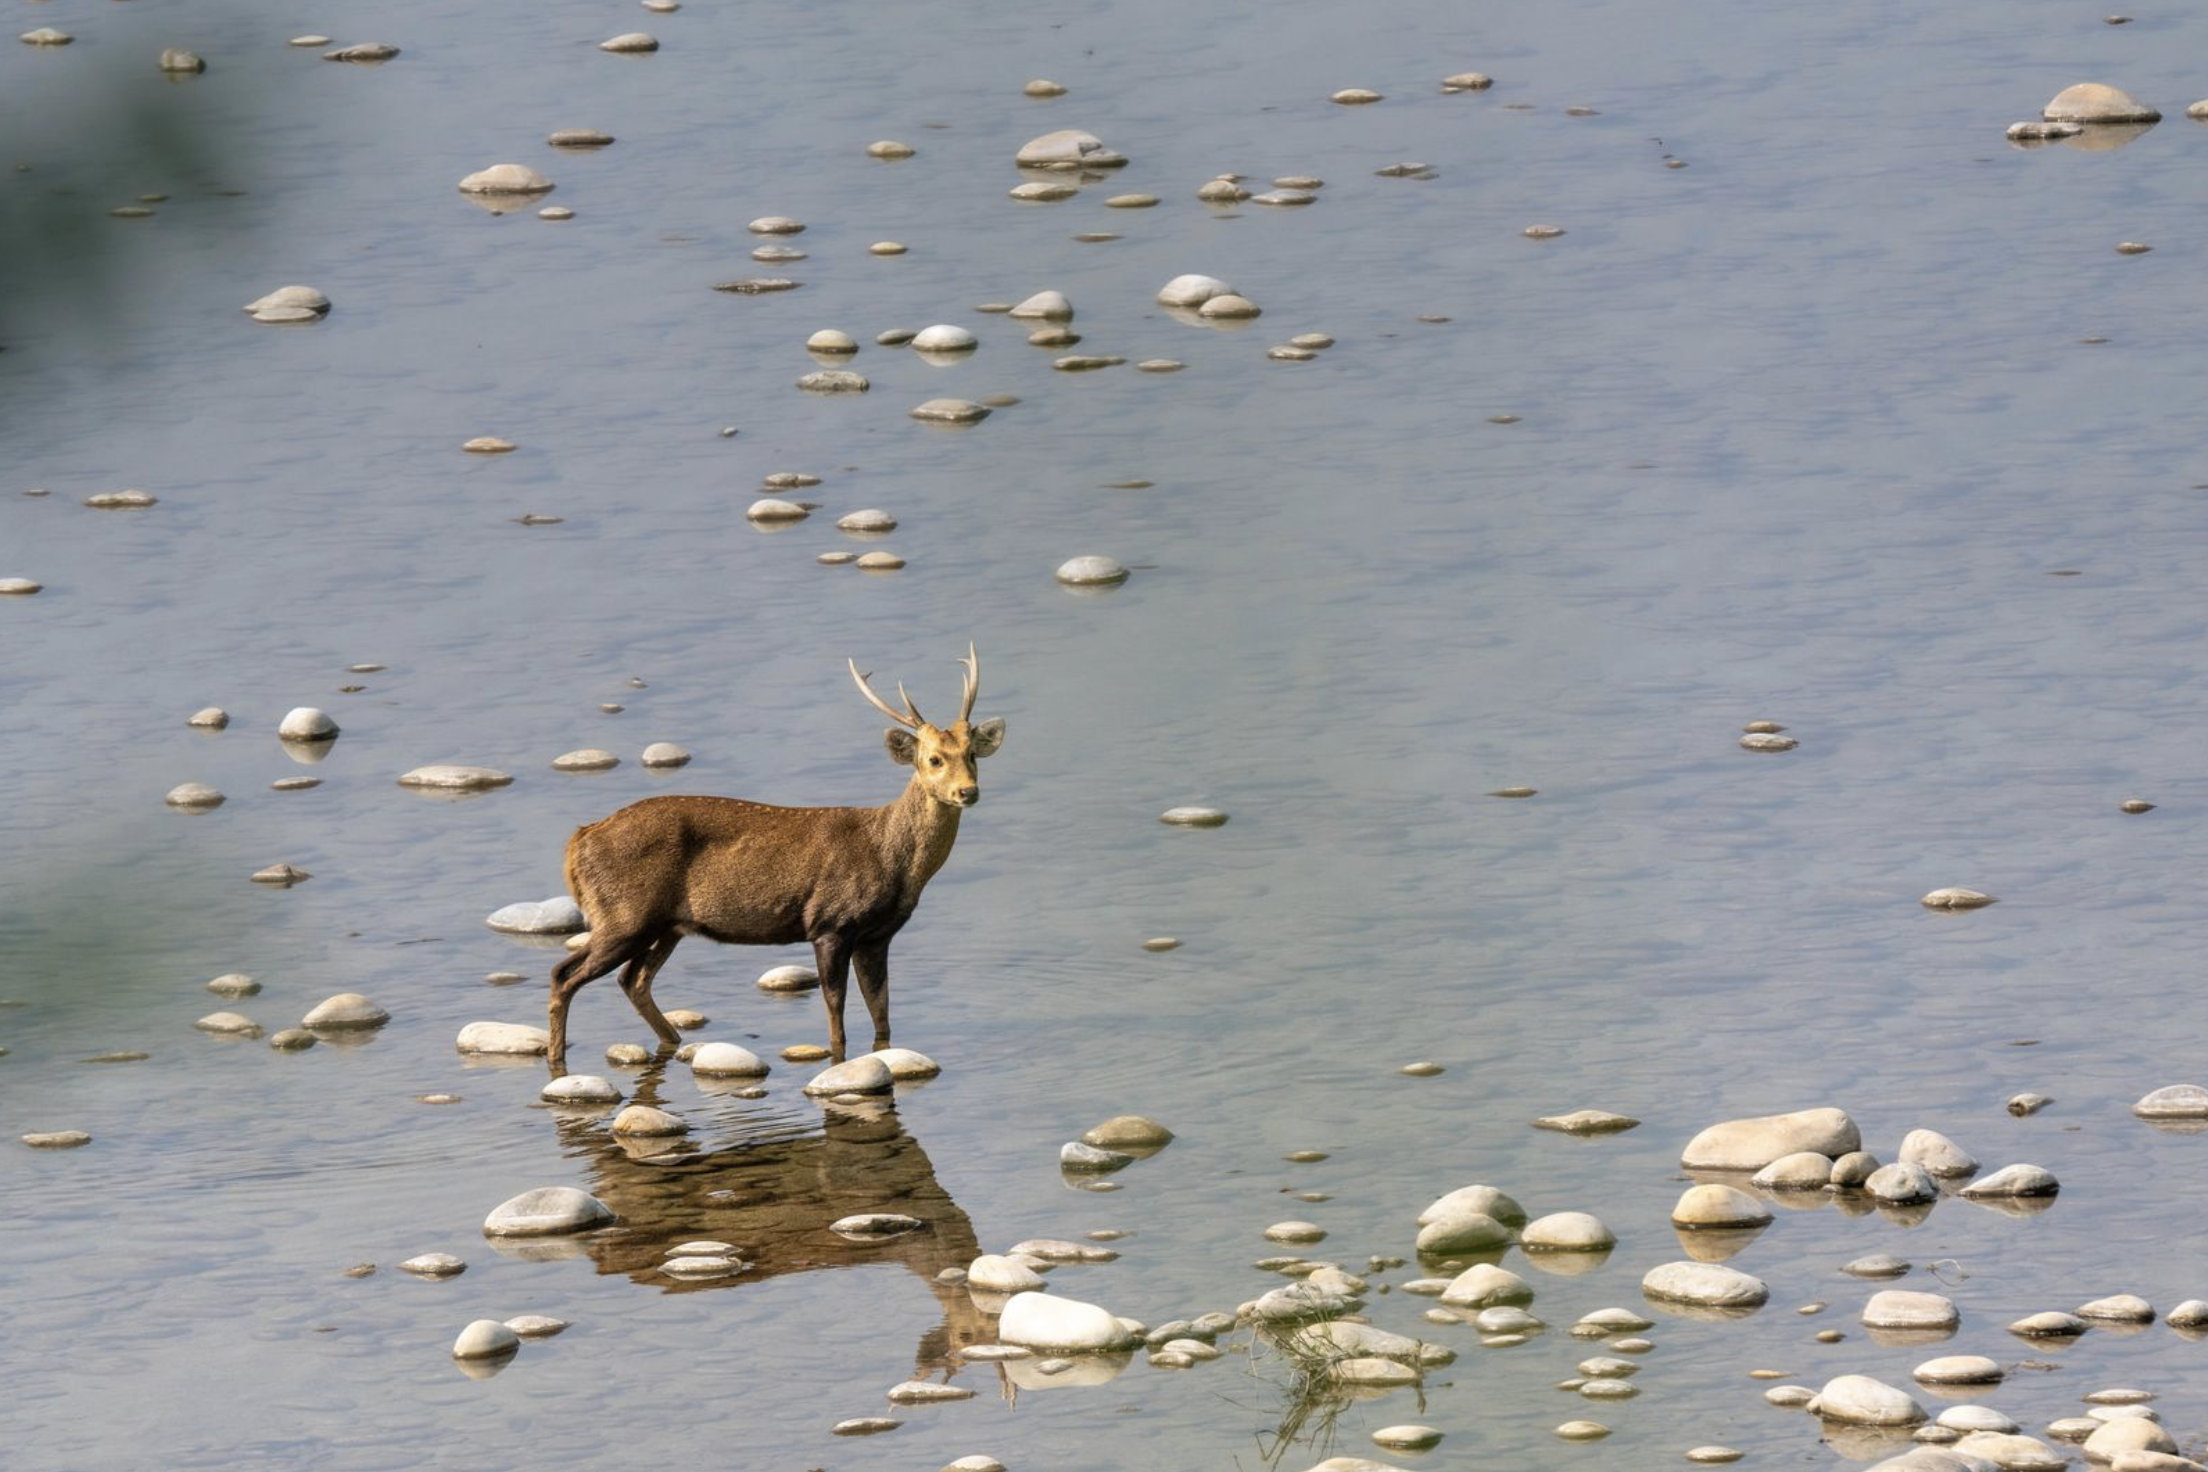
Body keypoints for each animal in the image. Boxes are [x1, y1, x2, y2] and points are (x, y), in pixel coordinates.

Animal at [545, 647, 1004, 1073]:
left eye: (971, 755)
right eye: (933, 759)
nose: (968, 791)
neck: (891, 859)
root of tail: (578, 841)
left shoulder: (878, 935)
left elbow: (882, 1016)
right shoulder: (830, 922)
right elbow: (836, 1015)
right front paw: (840, 1059)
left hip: (666, 925)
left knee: (632, 979)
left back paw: (669, 1042)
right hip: (624, 915)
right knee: (564, 975)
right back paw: (556, 1060)